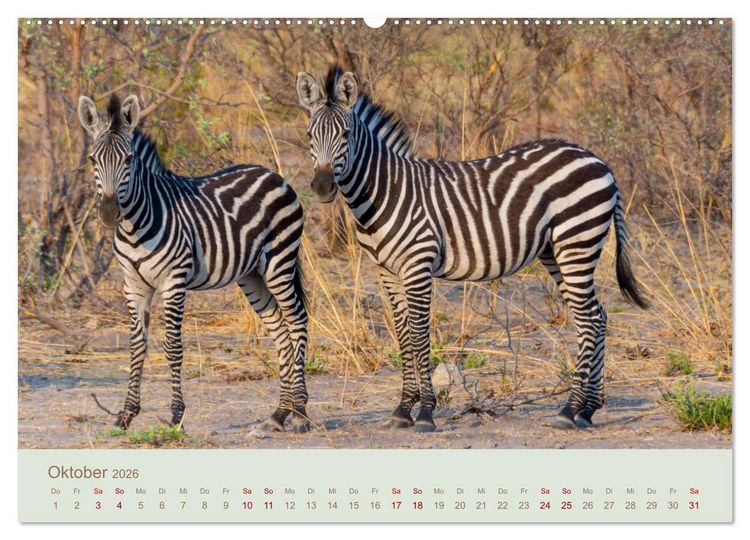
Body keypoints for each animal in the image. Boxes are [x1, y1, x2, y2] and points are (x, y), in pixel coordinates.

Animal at [77, 94, 311, 433]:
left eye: (128, 160)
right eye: (93, 160)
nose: (109, 213)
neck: (135, 226)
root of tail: (273, 174)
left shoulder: (174, 281)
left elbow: (173, 346)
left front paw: (176, 415)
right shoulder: (133, 286)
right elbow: (136, 346)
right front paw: (126, 413)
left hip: (279, 262)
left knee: (297, 322)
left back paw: (301, 412)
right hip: (252, 275)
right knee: (280, 330)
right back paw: (280, 413)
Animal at [296, 66, 648, 432]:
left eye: (346, 134)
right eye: (309, 135)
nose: (322, 187)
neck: (385, 192)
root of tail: (597, 159)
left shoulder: (418, 265)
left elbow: (420, 336)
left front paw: (425, 412)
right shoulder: (387, 272)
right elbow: (403, 336)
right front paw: (403, 408)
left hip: (577, 243)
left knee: (590, 320)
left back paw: (571, 409)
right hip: (557, 252)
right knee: (597, 316)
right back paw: (588, 408)